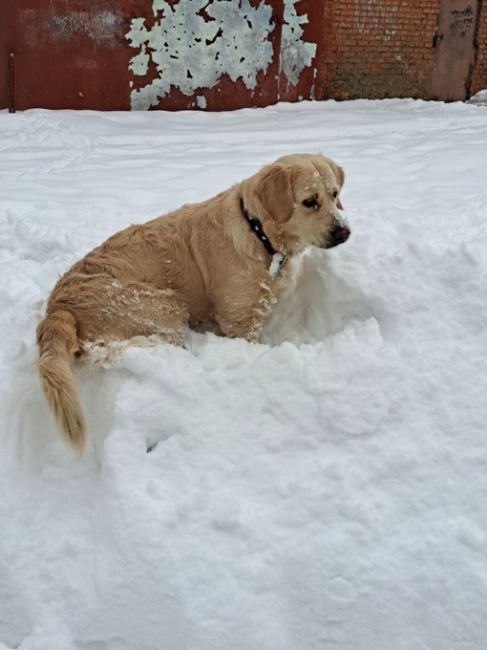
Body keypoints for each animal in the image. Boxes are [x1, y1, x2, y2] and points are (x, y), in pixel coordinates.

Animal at [38, 154, 350, 450]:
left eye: (334, 194)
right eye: (310, 202)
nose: (344, 231)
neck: (258, 233)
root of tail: (57, 309)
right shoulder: (239, 320)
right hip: (165, 306)